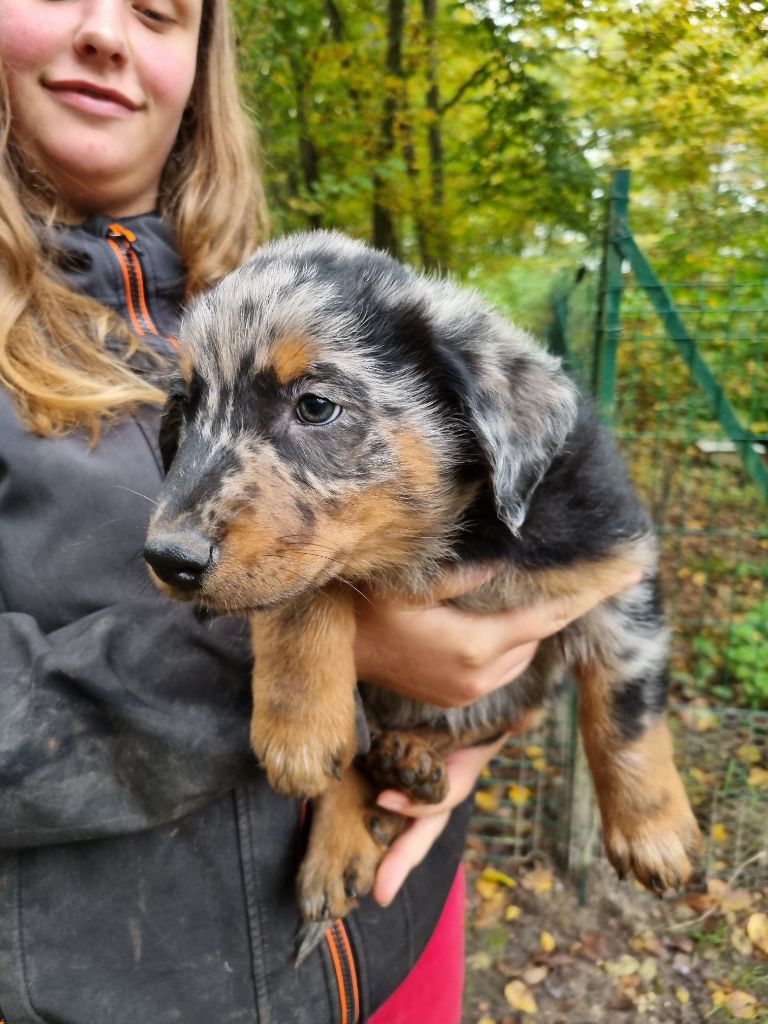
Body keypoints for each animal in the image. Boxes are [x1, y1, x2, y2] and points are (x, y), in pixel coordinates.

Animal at [141, 230, 700, 937]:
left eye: (315, 405)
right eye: (186, 407)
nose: (168, 558)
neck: (447, 544)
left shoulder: (617, 567)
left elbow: (625, 714)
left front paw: (652, 831)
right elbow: (308, 590)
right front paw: (299, 724)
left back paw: (413, 758)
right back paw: (348, 832)